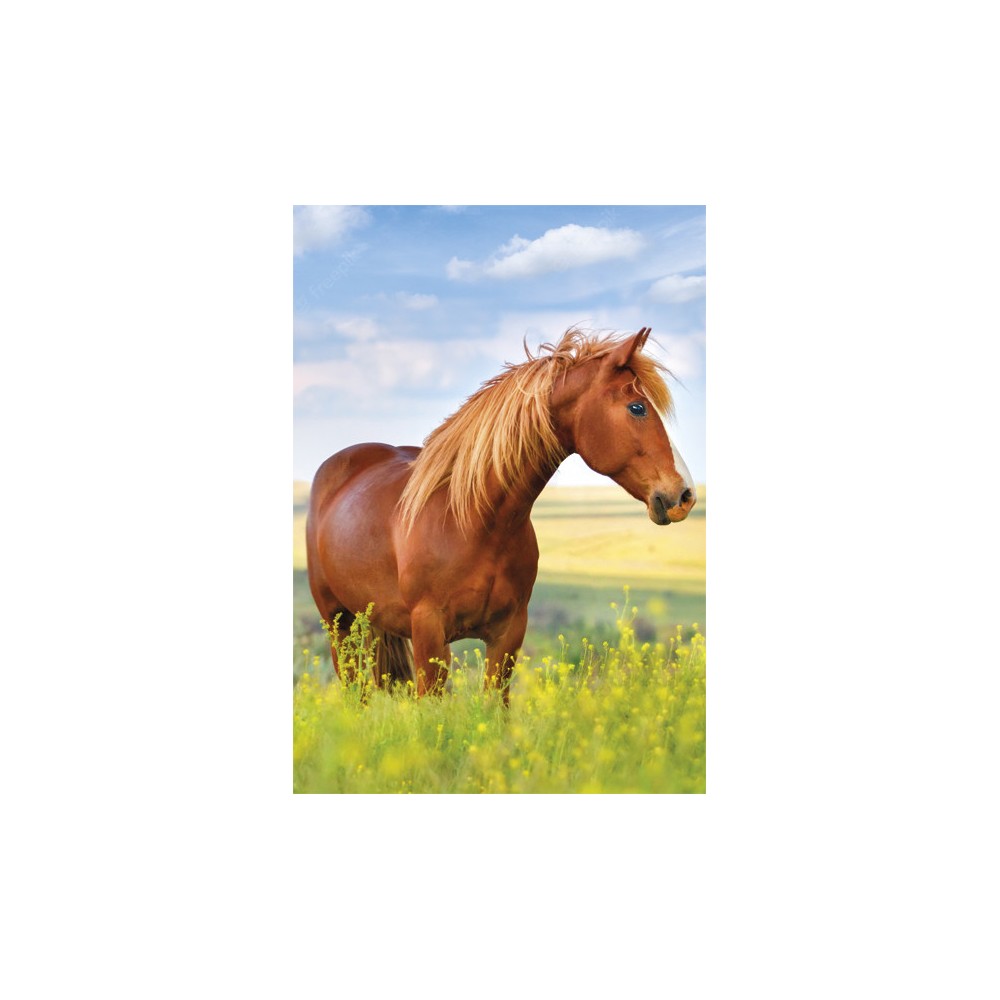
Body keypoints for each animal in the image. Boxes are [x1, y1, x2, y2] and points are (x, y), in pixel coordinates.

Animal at [305, 326, 696, 703]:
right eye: (637, 408)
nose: (685, 495)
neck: (473, 522)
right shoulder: (429, 633)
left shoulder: (508, 634)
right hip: (338, 624)